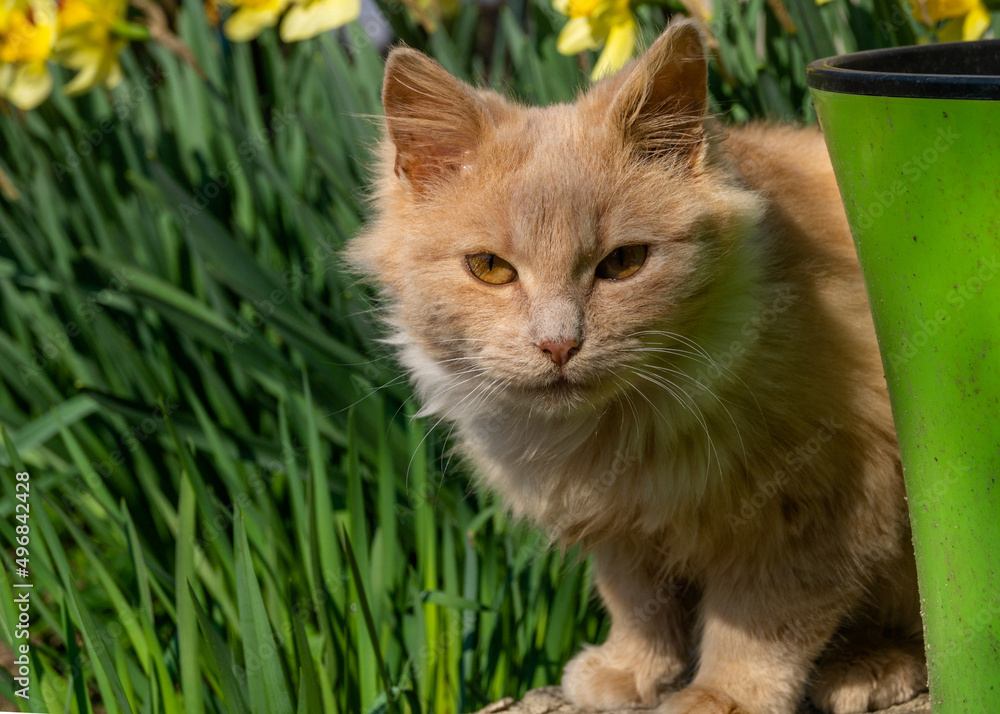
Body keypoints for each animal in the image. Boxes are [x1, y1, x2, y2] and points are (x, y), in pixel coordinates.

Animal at [352, 20, 928, 712]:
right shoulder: (622, 526)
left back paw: (869, 667)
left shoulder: (822, 496)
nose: (558, 344)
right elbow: (638, 603)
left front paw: (722, 695)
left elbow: (760, 621)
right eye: (489, 268)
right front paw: (631, 670)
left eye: (623, 263)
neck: (617, 431)